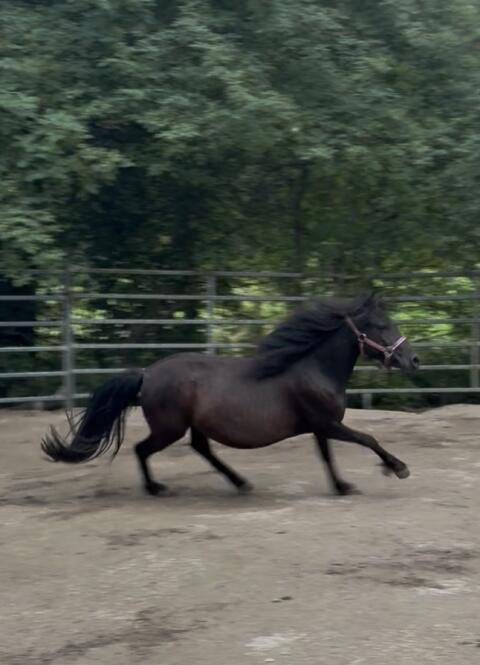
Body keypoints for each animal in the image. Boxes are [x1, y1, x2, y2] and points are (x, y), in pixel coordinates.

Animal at [42, 292, 419, 496]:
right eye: (382, 326)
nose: (413, 360)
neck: (313, 368)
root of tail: (147, 374)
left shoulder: (321, 427)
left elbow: (327, 456)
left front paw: (342, 487)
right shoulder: (327, 423)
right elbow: (368, 438)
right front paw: (398, 468)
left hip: (193, 426)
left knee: (202, 450)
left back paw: (240, 482)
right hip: (169, 428)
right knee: (142, 449)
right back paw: (156, 488)